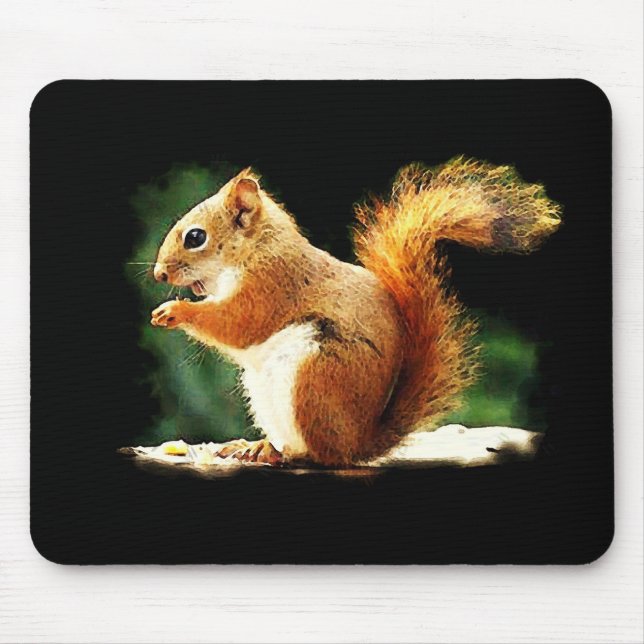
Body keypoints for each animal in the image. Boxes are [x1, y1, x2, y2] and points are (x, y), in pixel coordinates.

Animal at [150, 157, 561, 466]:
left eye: (195, 237)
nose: (159, 274)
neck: (256, 249)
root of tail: (358, 443)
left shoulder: (272, 286)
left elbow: (235, 323)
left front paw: (175, 310)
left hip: (313, 379)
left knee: (321, 454)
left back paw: (283, 452)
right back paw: (254, 446)